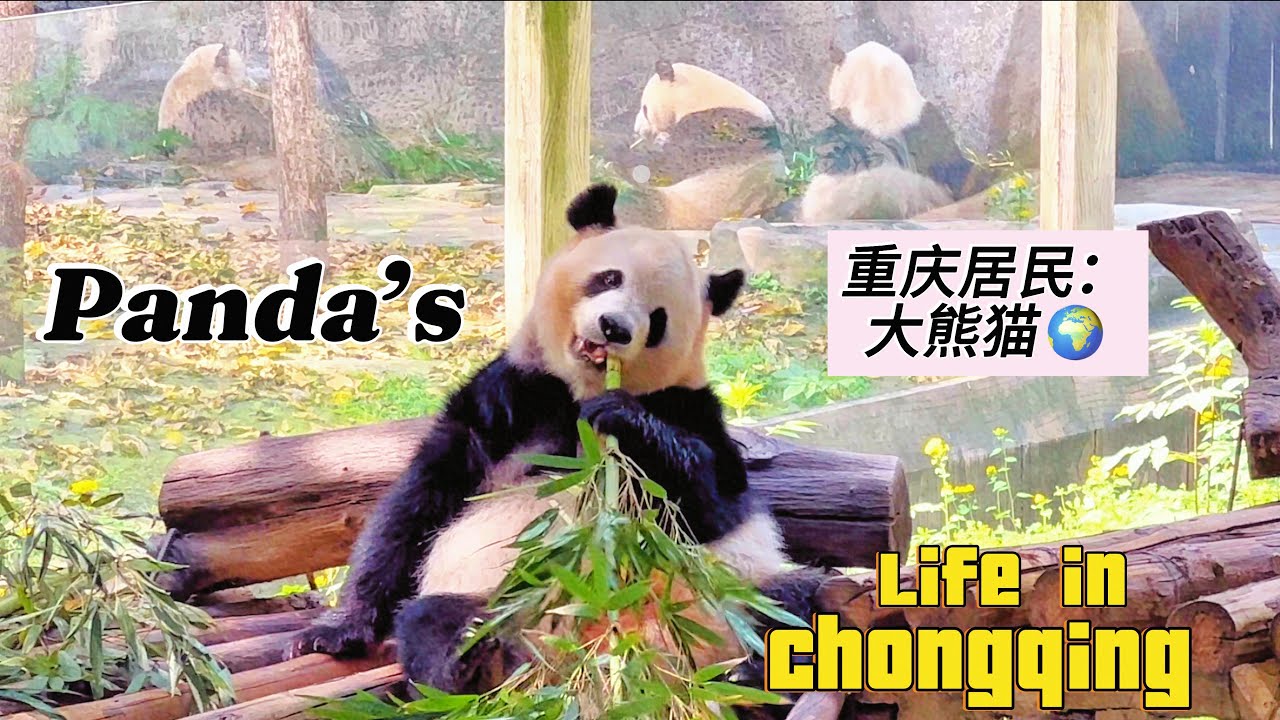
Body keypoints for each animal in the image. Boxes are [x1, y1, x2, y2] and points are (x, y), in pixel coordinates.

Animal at [285, 184, 829, 708]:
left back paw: (760, 669)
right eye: (608, 279)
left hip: (733, 589)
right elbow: (417, 506)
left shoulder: (691, 409)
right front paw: (334, 631)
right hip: (499, 598)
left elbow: (712, 500)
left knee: (798, 600)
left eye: (657, 319)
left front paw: (628, 422)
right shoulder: (507, 397)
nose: (615, 328)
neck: (577, 394)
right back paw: (469, 659)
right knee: (434, 620)